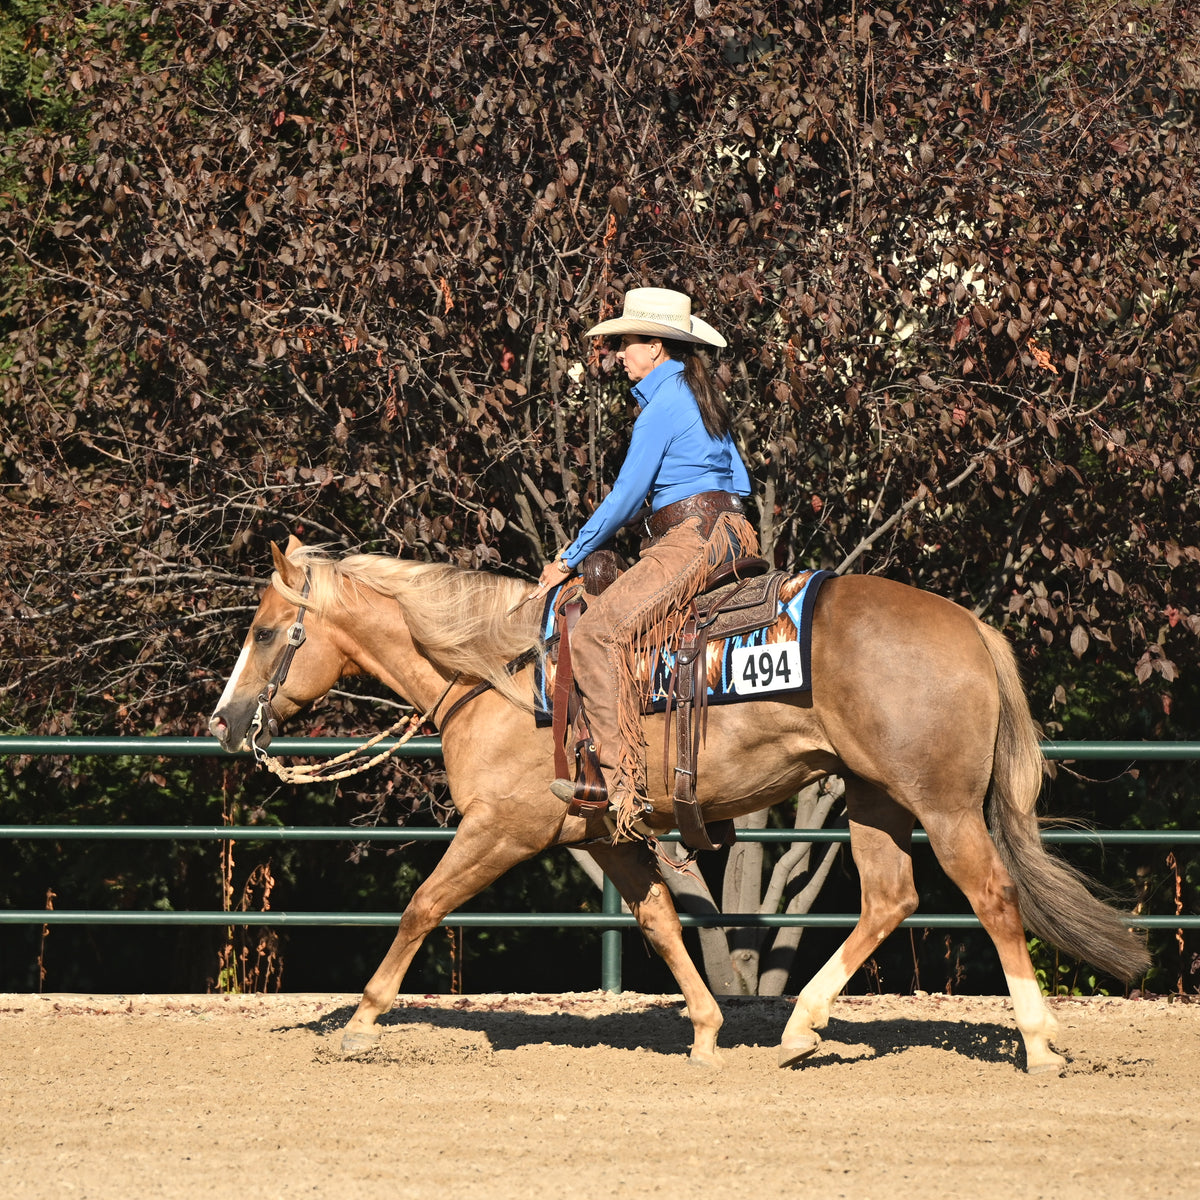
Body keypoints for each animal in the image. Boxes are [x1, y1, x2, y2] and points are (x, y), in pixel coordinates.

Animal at [209, 536, 1149, 1073]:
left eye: (265, 632)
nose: (223, 722)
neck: (496, 673)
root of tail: (970, 627)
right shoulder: (610, 838)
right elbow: (661, 922)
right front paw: (703, 1031)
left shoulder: (502, 829)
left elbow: (423, 906)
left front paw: (362, 1023)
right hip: (874, 799)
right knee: (891, 899)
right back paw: (801, 1028)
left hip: (944, 808)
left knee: (992, 896)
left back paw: (1037, 1042)